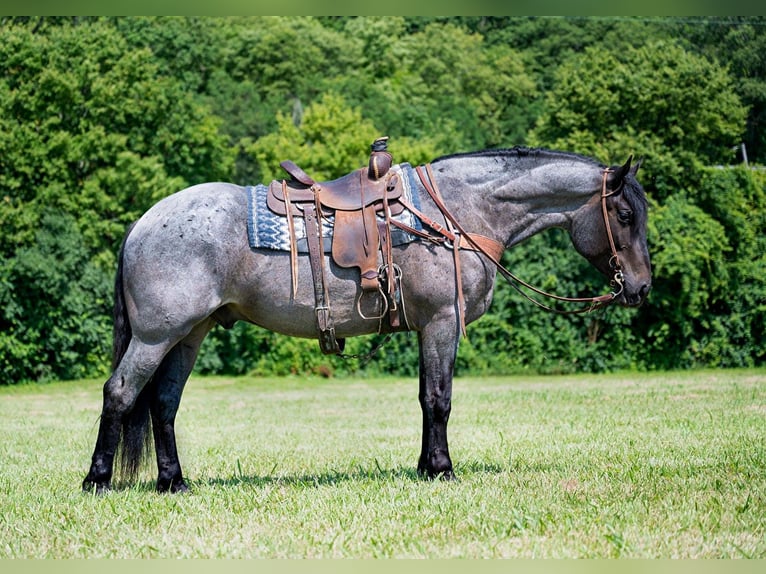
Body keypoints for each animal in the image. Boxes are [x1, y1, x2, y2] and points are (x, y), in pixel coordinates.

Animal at [82, 146, 656, 492]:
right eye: (625, 215)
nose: (641, 286)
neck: (456, 214)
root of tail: (143, 222)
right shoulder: (443, 322)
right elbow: (440, 399)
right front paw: (443, 471)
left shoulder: (428, 328)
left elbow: (426, 398)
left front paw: (425, 467)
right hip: (156, 336)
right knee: (120, 394)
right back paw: (98, 480)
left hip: (188, 335)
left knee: (162, 404)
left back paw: (173, 481)